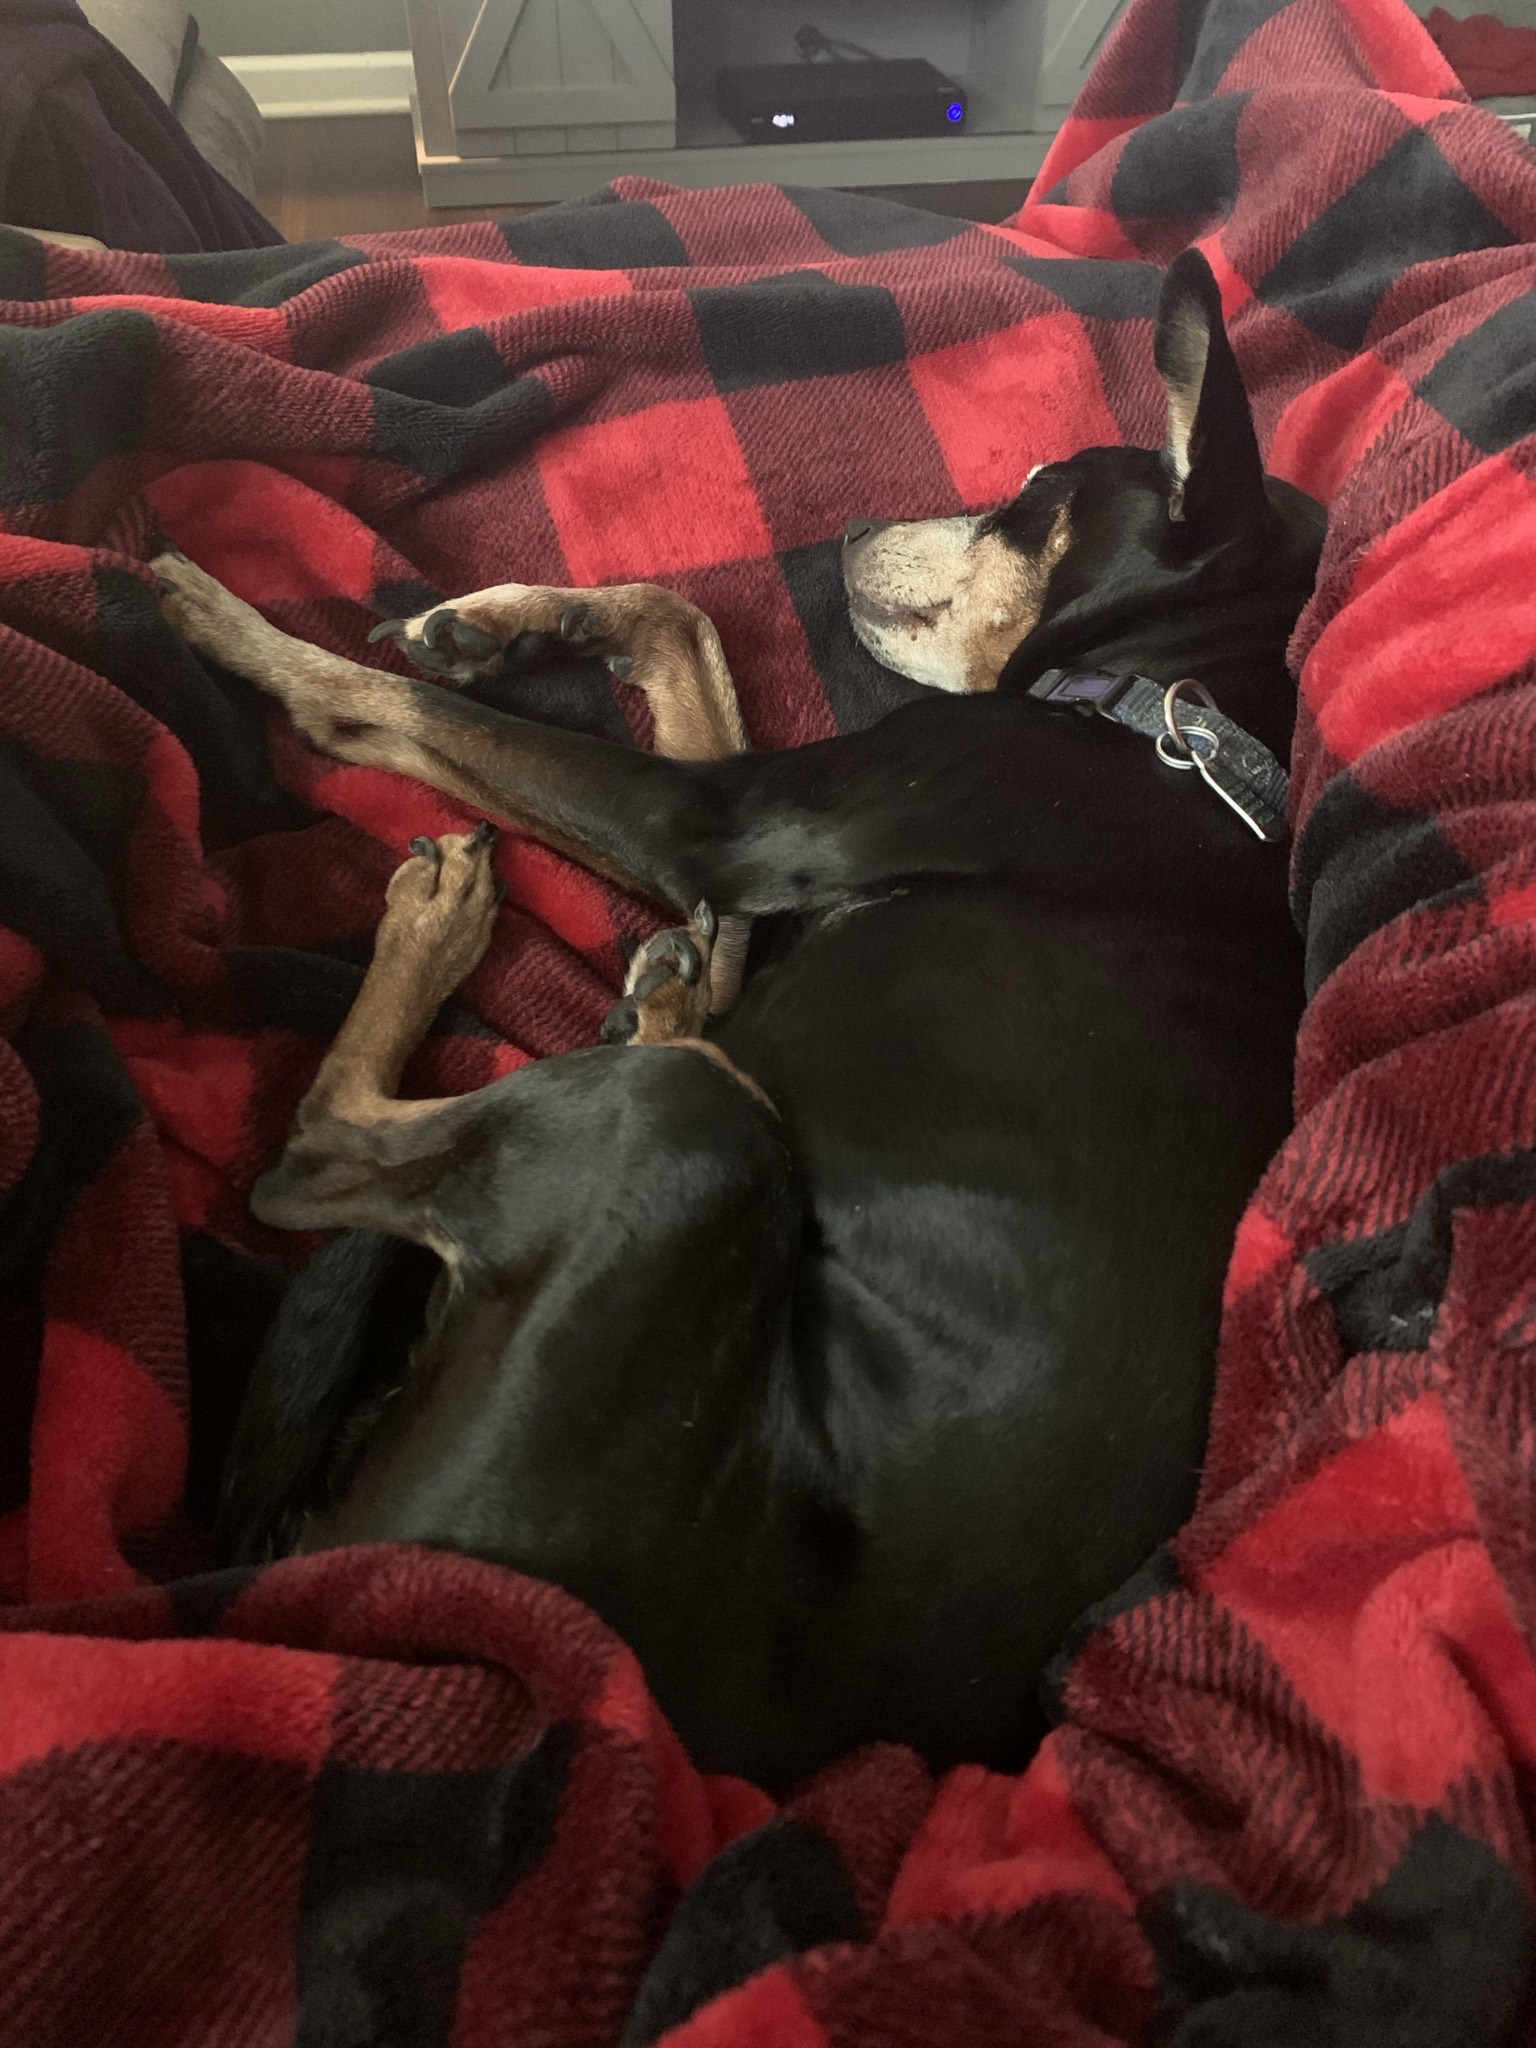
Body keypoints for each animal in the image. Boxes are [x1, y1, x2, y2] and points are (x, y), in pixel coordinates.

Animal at [156, 251, 1327, 1794]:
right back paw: (657, 990)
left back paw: (447, 924)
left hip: (690, 1134)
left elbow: (394, 708)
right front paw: (502, 623)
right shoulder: (744, 833)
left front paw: (229, 624)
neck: (1174, 720)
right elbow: (683, 623)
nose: (851, 535)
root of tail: (322, 1582)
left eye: (1036, 498)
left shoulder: (723, 819)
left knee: (313, 1157)